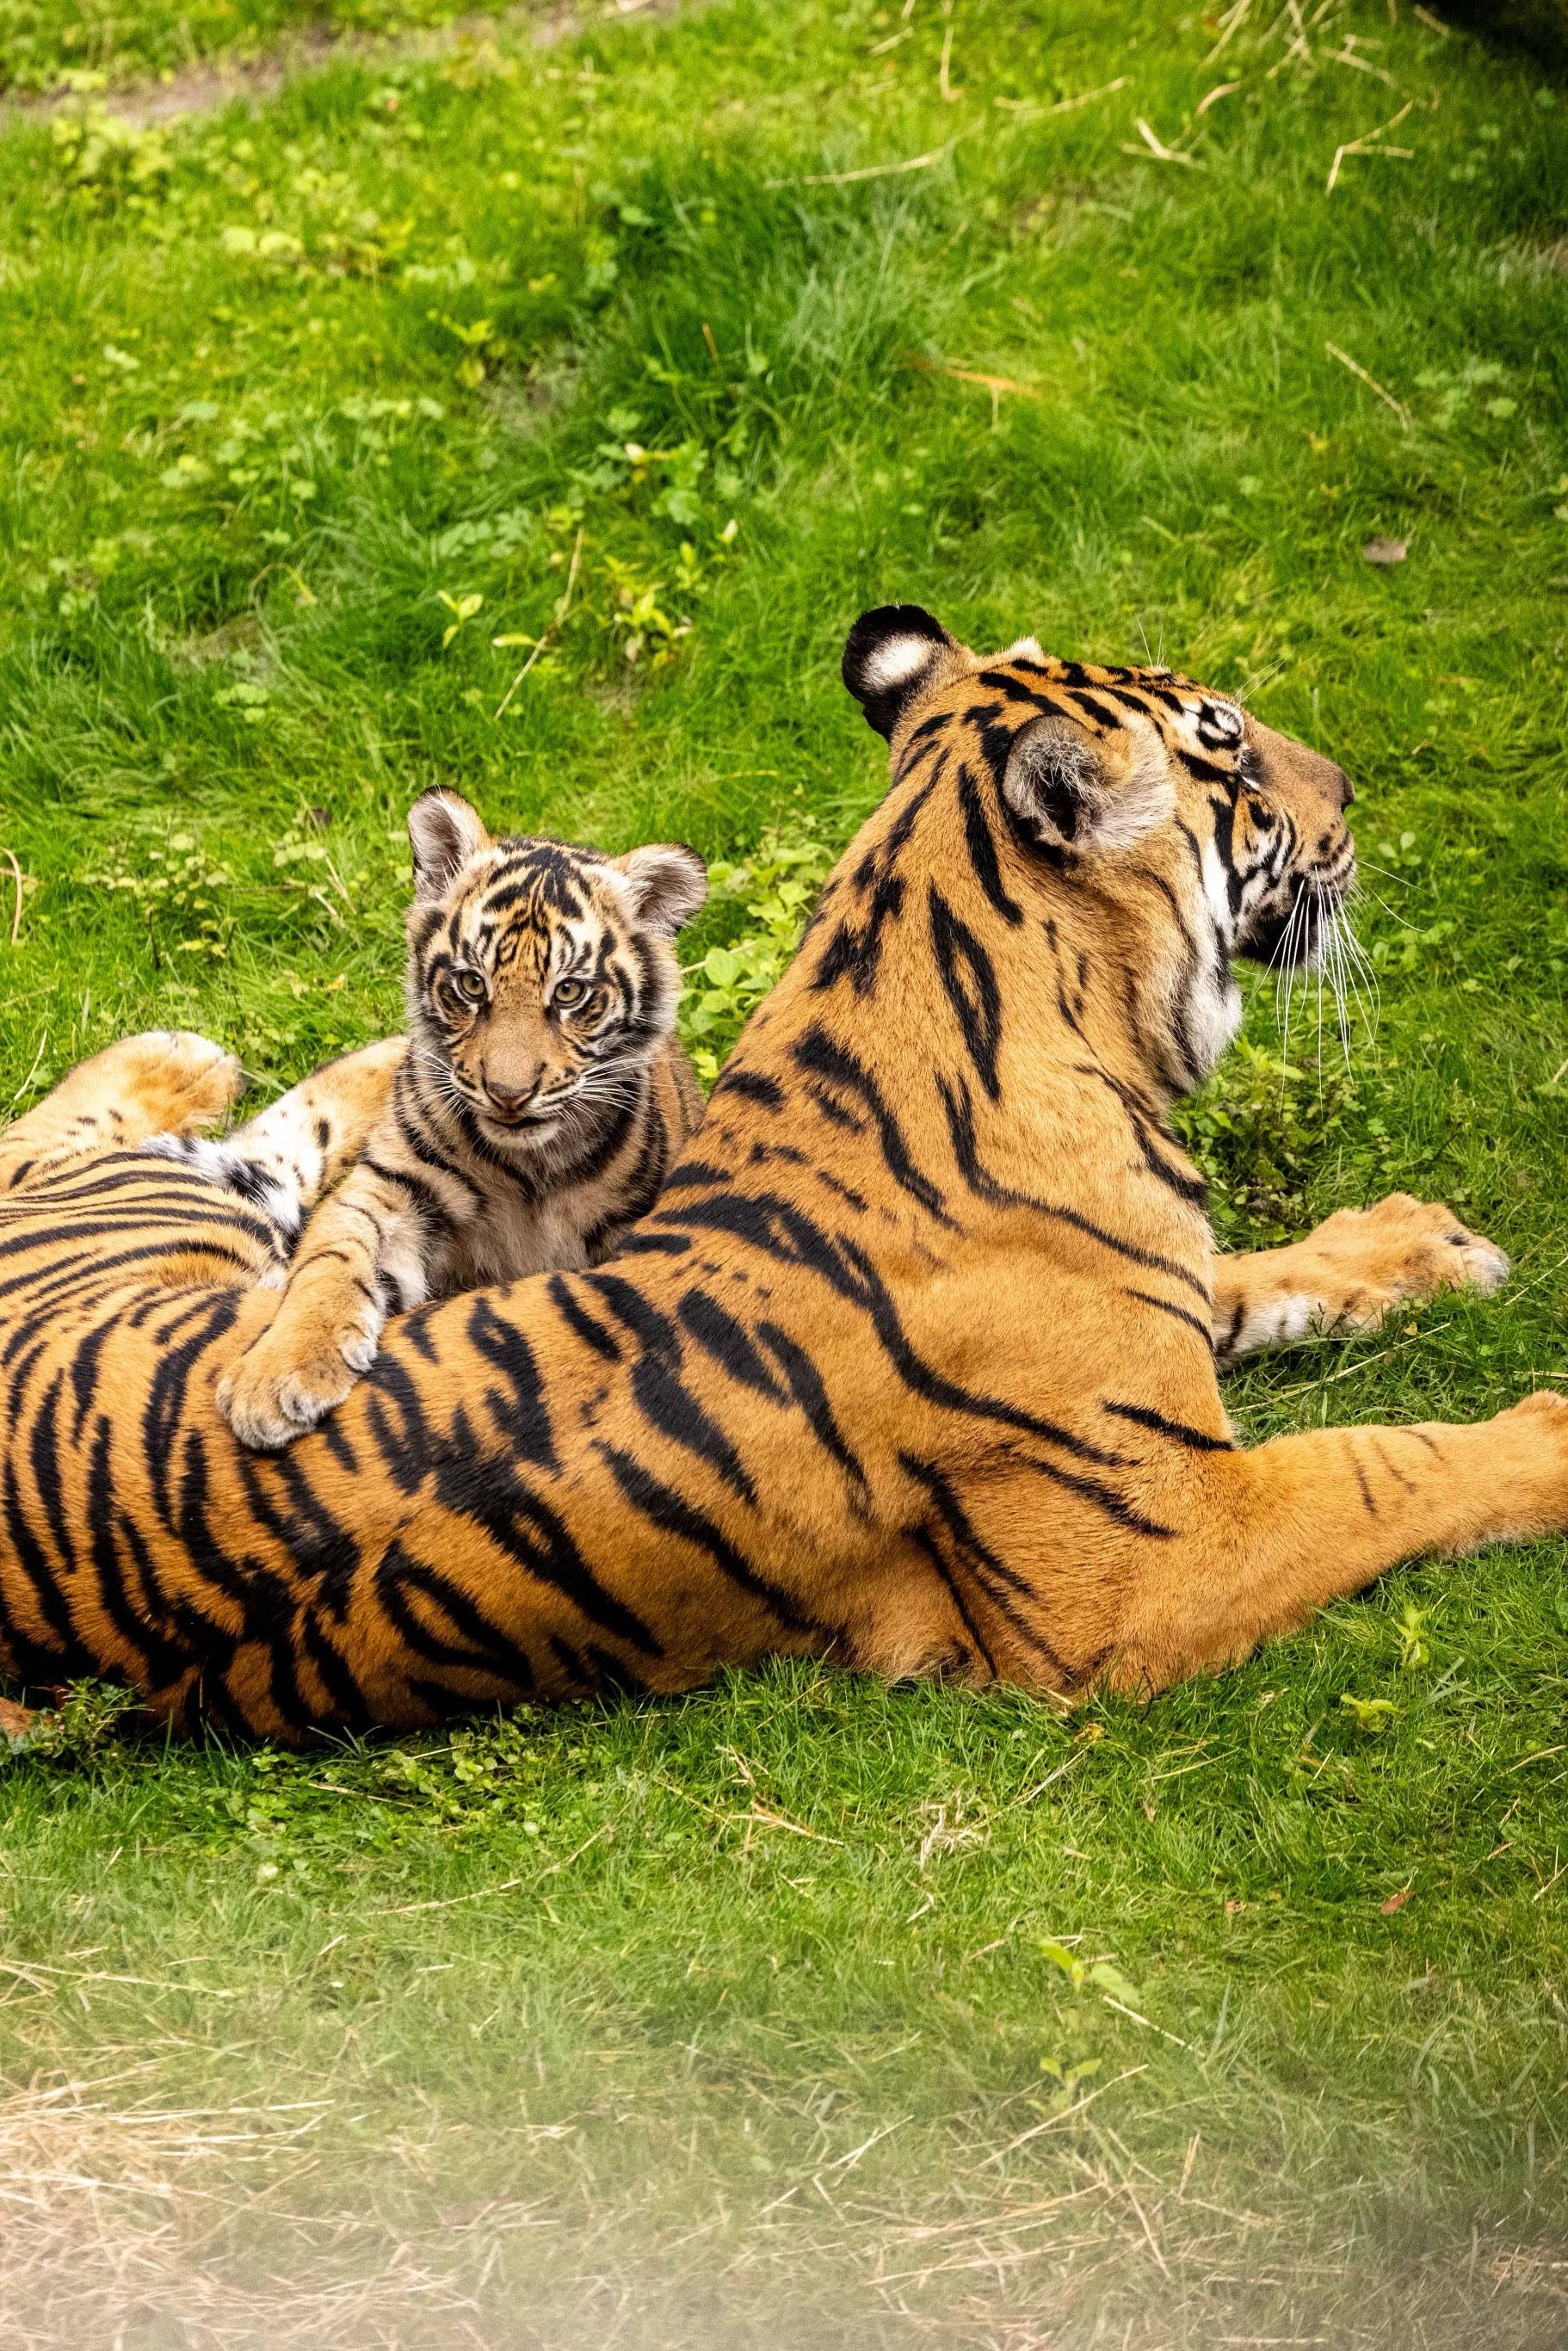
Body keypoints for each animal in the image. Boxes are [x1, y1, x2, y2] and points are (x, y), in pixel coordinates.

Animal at [3, 606, 1568, 1749]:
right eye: (1228, 752)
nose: (1352, 790)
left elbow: (1248, 1283)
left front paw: (1417, 1246)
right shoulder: (1136, 1565)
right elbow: (1381, 1466)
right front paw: (1542, 1434)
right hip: (183, 1219)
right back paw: (199, 1060)